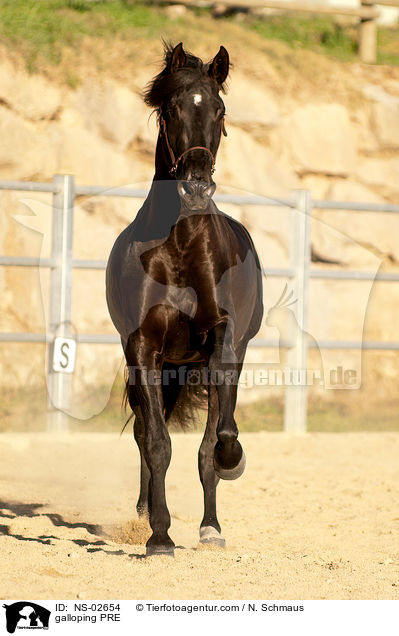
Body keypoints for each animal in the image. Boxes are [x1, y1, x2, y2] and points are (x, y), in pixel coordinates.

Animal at [106, 42, 264, 556]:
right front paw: (159, 535)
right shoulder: (142, 347)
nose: (196, 187)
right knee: (143, 432)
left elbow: (217, 441)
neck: (179, 245)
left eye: (220, 110)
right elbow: (157, 442)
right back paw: (144, 515)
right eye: (172, 108)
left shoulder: (222, 343)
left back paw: (210, 528)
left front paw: (232, 464)